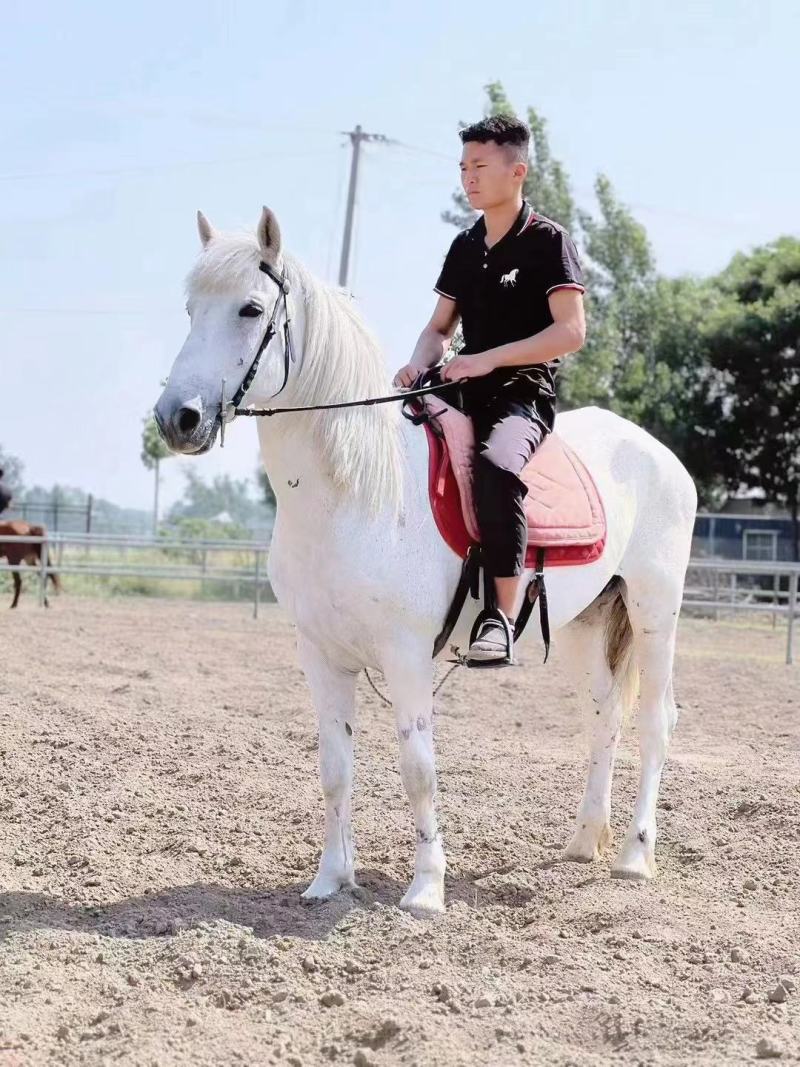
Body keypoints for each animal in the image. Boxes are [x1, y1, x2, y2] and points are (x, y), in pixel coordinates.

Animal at [154, 207, 697, 913]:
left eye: (250, 308)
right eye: (191, 309)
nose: (178, 418)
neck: (355, 493)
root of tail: (656, 452)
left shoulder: (406, 654)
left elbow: (419, 770)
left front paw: (425, 889)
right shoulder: (320, 654)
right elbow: (334, 768)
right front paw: (331, 880)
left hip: (655, 609)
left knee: (656, 720)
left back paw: (634, 855)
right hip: (587, 619)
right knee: (605, 716)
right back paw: (583, 843)